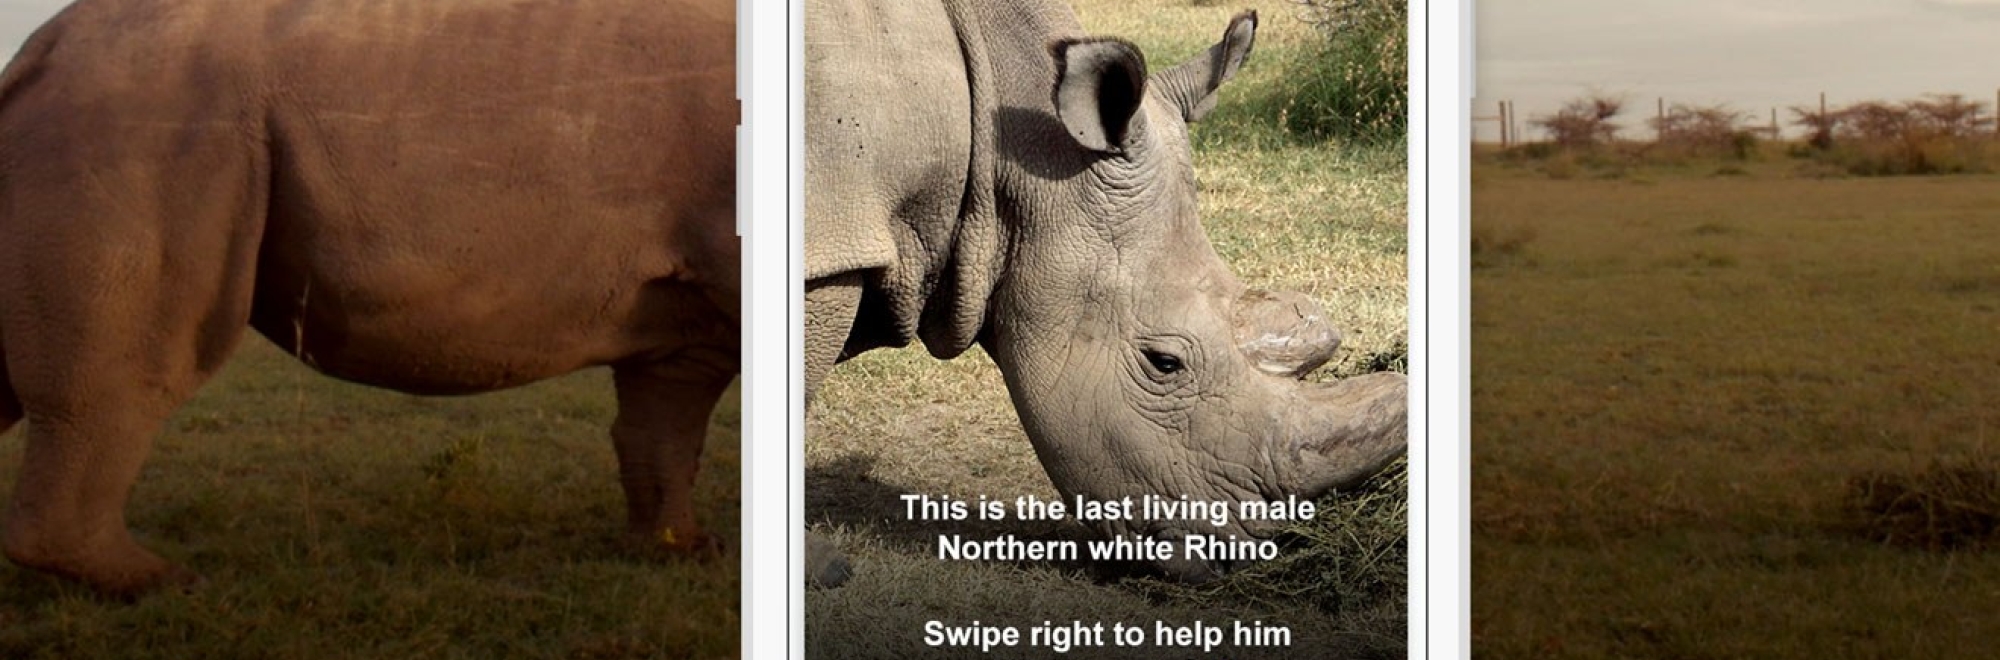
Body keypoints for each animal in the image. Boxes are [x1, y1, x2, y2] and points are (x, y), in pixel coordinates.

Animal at [0, 0, 736, 596]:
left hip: (125, 119)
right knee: (133, 367)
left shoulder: (682, 318)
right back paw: (163, 584)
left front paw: (682, 552)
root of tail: (39, 49)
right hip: (144, 124)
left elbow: (664, 423)